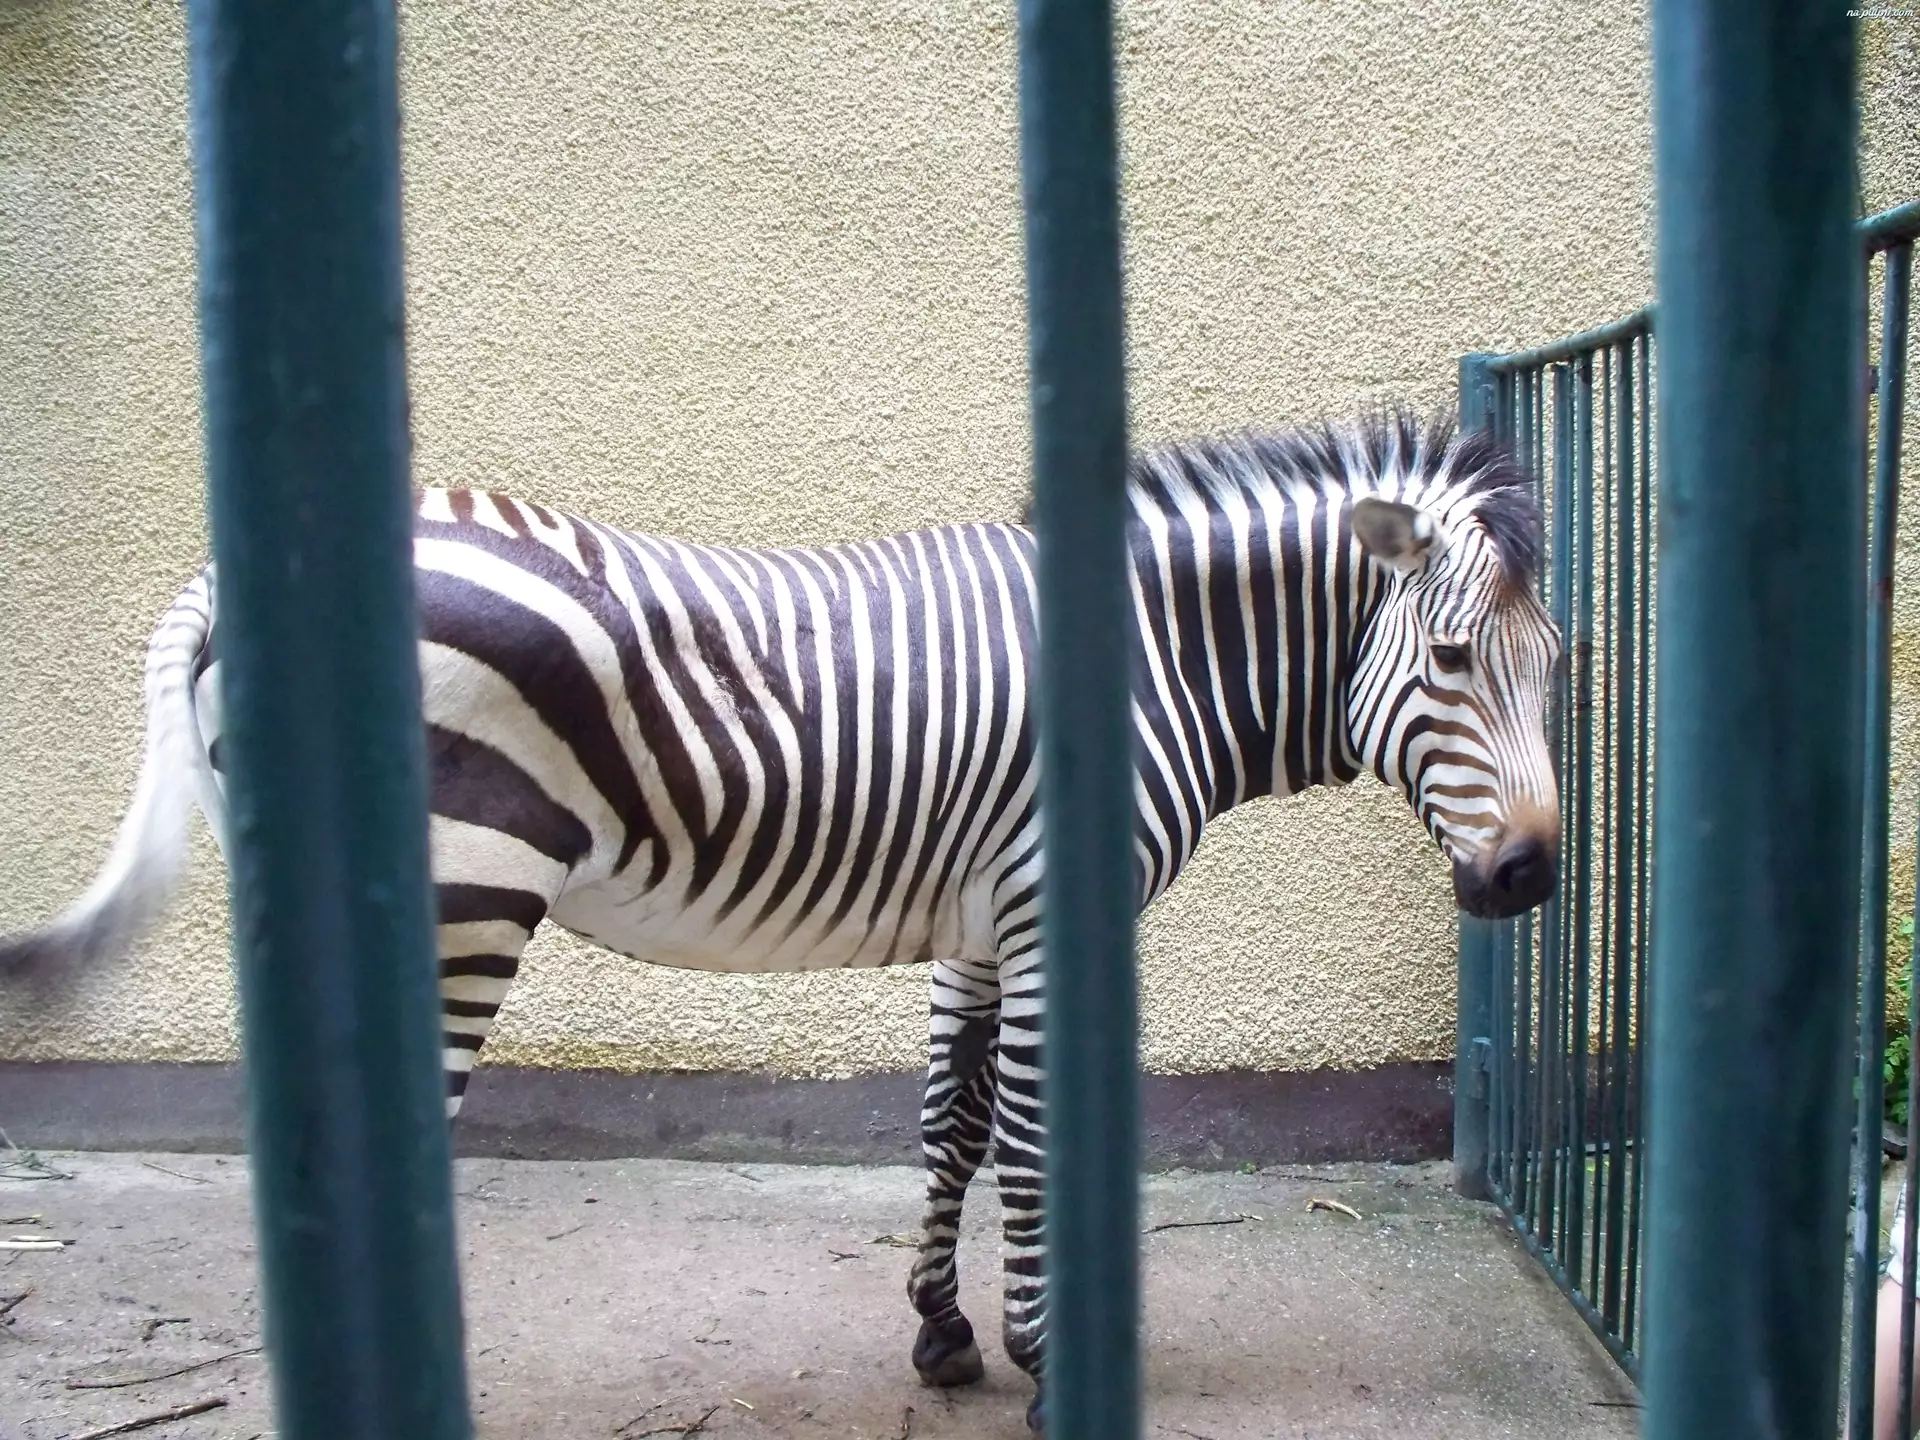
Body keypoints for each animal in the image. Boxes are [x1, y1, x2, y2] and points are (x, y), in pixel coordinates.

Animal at [0, 407, 1560, 1433]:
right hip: (463, 894)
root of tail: (224, 580)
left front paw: (944, 1337)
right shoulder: (1050, 902)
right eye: (1449, 659)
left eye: (1561, 667)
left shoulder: (977, 917)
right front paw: (1048, 1361)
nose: (1533, 879)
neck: (1148, 663)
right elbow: (1033, 1131)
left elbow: (951, 1124)